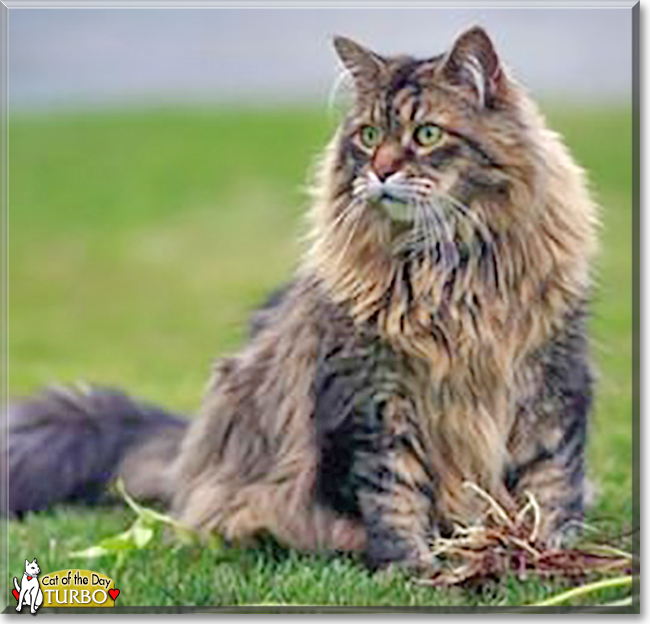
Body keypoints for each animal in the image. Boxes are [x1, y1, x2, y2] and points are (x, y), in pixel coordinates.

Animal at [5, 25, 596, 572]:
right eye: (369, 134)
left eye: (427, 134)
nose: (381, 170)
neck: (450, 269)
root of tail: (188, 450)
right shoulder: (376, 398)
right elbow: (394, 494)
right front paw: (412, 567)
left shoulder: (550, 380)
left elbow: (550, 480)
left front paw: (546, 550)